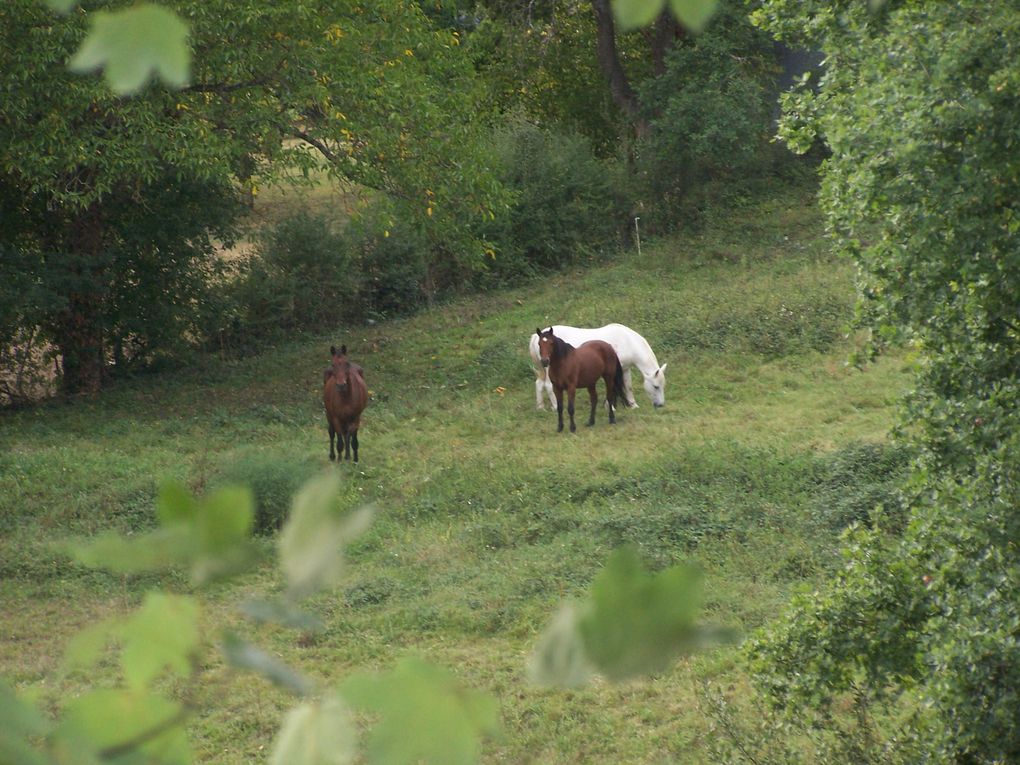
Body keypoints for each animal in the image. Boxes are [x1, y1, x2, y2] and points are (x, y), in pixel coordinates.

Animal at [530, 324, 665, 414]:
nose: (660, 405)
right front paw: (611, 407)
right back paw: (555, 407)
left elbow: (628, 386)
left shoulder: (625, 369)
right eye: (656, 386)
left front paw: (633, 405)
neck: (626, 341)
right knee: (548, 386)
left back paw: (540, 408)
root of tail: (537, 337)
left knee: (539, 384)